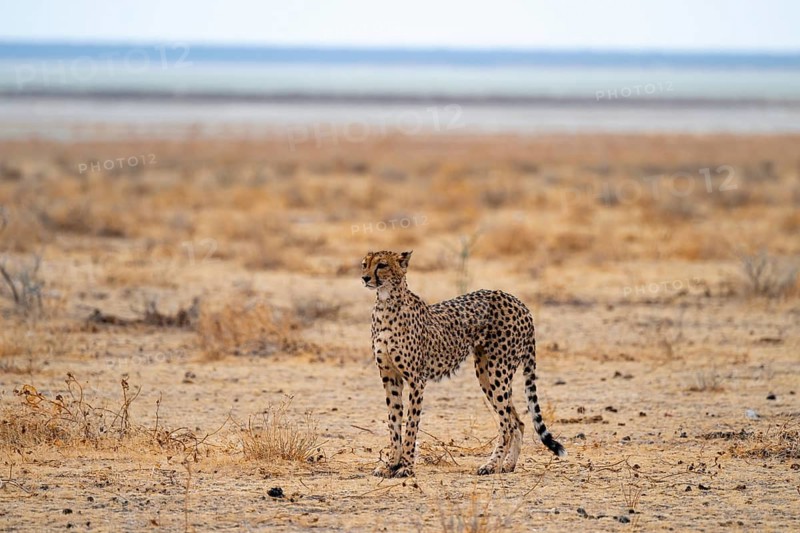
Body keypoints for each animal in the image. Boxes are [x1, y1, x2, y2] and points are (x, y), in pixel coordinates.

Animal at [362, 250, 566, 478]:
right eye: (364, 264)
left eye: (382, 265)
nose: (365, 278)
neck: (386, 303)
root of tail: (517, 301)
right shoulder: (390, 377)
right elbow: (394, 422)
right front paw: (390, 465)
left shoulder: (416, 380)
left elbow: (411, 424)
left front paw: (405, 466)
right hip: (485, 373)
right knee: (518, 422)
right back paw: (507, 465)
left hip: (498, 371)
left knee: (507, 424)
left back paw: (491, 465)